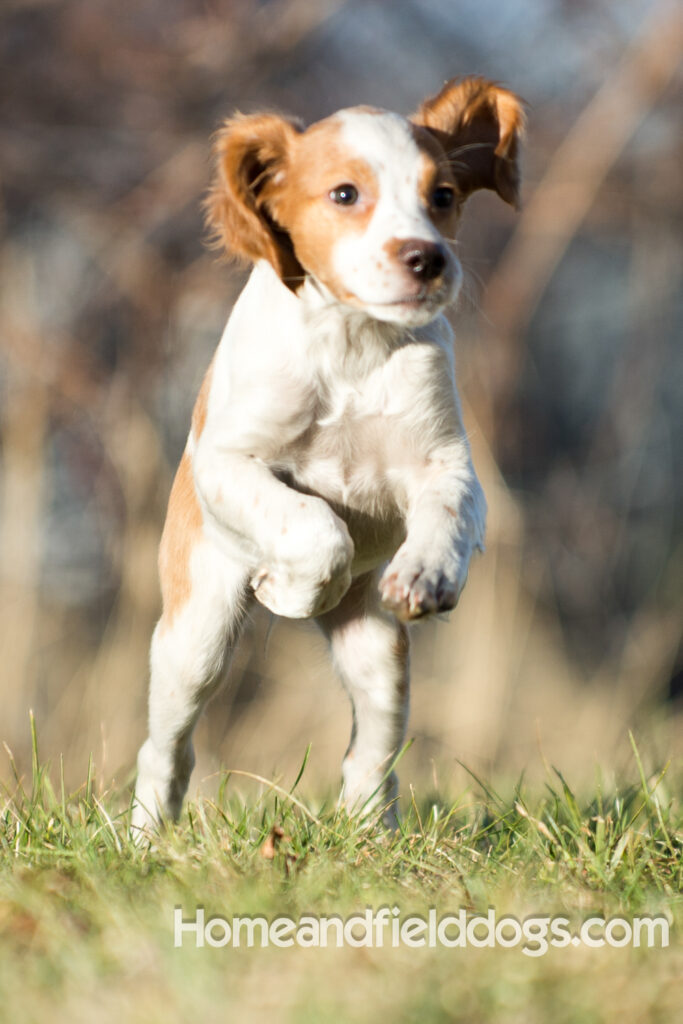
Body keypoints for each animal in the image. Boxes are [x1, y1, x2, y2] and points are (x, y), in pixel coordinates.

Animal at [131, 77, 524, 831]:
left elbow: (446, 513)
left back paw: (371, 833)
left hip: (379, 651)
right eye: (345, 194)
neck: (352, 342)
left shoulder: (446, 462)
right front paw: (292, 588)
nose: (428, 258)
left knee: (371, 752)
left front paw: (428, 574)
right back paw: (144, 836)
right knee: (166, 749)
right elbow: (316, 527)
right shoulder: (226, 463)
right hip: (196, 633)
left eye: (443, 195)